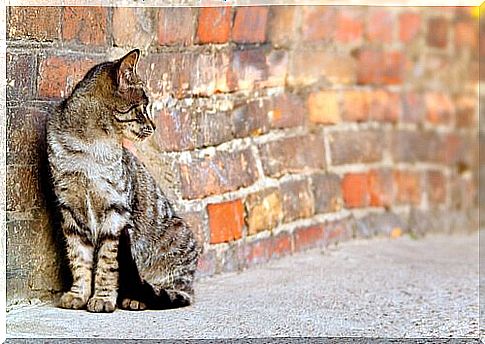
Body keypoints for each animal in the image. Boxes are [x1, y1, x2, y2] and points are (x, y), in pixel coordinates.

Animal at [46, 49, 200, 314]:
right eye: (144, 107)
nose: (154, 126)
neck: (89, 147)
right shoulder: (70, 211)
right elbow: (78, 258)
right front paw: (78, 294)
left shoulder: (116, 212)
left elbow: (108, 263)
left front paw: (103, 298)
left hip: (177, 243)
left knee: (167, 289)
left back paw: (136, 298)